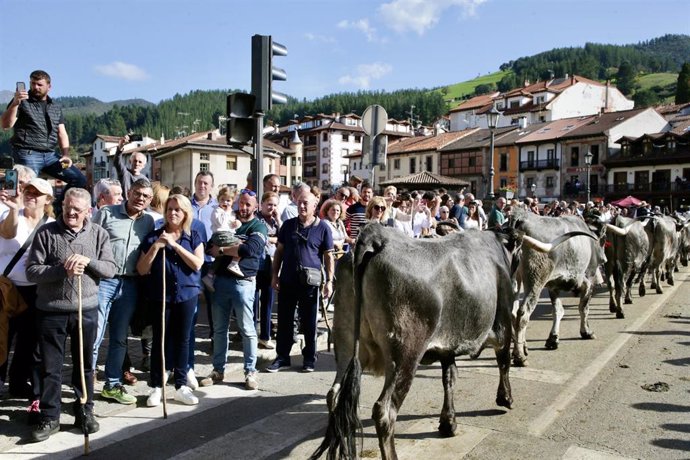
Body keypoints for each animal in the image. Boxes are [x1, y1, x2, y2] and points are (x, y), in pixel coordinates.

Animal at [310, 223, 584, 460]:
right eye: (517, 246)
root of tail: (376, 236)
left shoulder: (446, 345)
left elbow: (449, 378)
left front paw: (448, 422)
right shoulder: (503, 324)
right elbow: (503, 361)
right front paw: (505, 398)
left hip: (345, 342)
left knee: (334, 396)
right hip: (405, 355)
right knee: (385, 411)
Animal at [508, 209, 600, 366]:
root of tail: (521, 217)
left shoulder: (553, 287)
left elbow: (558, 310)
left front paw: (553, 339)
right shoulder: (585, 280)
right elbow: (583, 307)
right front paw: (586, 331)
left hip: (516, 282)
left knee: (514, 314)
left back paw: (522, 348)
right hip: (535, 281)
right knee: (523, 313)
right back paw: (520, 356)